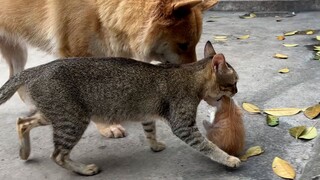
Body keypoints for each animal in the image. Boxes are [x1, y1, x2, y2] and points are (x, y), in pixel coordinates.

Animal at [0, 0, 218, 138]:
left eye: (194, 44)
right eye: (183, 45)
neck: (101, 8)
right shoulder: (78, 54)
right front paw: (106, 127)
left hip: (18, 51)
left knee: (14, 75)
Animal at [0, 41, 240, 176]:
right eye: (234, 81)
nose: (237, 91)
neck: (191, 76)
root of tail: (35, 69)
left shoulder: (147, 113)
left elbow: (150, 131)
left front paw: (154, 145)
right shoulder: (184, 126)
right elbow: (208, 146)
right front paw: (228, 159)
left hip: (55, 115)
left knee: (22, 122)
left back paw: (24, 152)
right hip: (72, 120)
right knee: (58, 155)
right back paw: (83, 169)